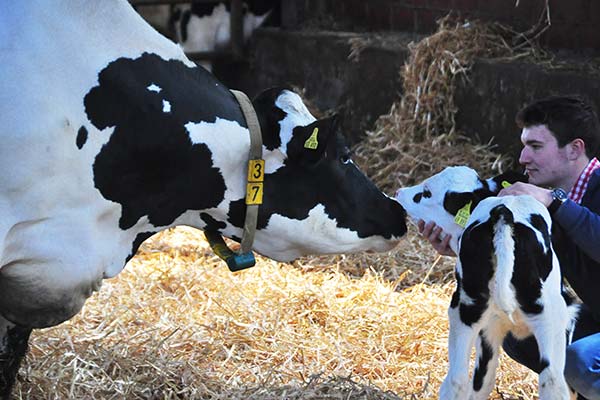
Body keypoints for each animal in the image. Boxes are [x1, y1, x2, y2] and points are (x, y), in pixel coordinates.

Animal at [394, 166, 576, 400]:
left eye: (426, 193)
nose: (398, 192)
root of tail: (502, 214)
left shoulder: (489, 328)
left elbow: (482, 381)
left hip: (467, 313)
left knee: (459, 379)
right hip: (547, 318)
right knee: (553, 381)